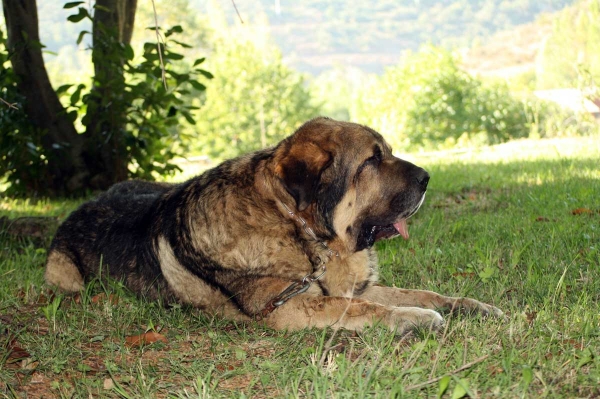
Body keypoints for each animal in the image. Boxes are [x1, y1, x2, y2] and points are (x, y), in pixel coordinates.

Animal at [45, 117, 502, 332]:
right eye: (371, 160)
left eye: (386, 152)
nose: (428, 179)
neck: (301, 232)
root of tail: (85, 204)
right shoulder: (292, 305)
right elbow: (363, 308)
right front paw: (413, 318)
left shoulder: (347, 286)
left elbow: (422, 292)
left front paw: (471, 306)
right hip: (64, 274)